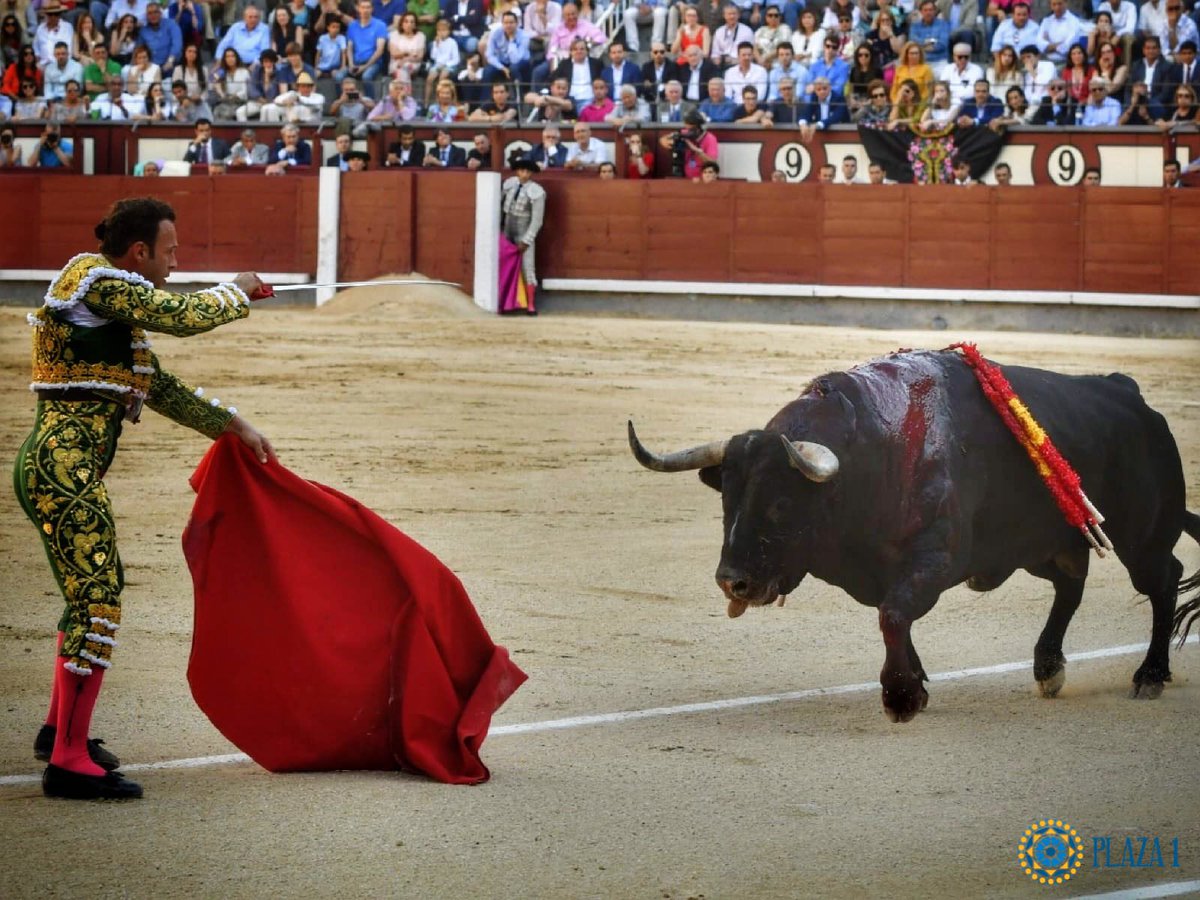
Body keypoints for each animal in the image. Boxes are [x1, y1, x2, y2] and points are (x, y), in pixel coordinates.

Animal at [628, 349, 1200, 723]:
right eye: (726, 499)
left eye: (782, 503)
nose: (732, 581)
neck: (871, 456)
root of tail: (1131, 395)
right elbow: (894, 618)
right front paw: (916, 684)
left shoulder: (934, 560)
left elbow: (893, 615)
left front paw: (901, 697)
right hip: (1044, 543)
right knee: (1070, 584)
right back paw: (1048, 668)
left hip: (1143, 536)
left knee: (1162, 581)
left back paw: (1149, 676)